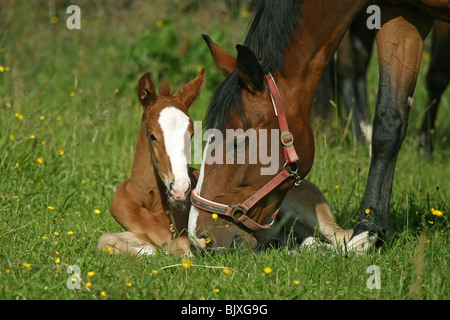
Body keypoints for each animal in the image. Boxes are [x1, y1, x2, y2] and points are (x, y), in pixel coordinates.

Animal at [98, 69, 206, 255]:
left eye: (191, 135)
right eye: (152, 136)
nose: (180, 189)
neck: (153, 205)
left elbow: (182, 243)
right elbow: (106, 239)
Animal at [188, 0, 448, 250]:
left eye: (238, 142)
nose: (199, 238)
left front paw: (367, 232)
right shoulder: (405, 14)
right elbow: (389, 121)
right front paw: (370, 230)